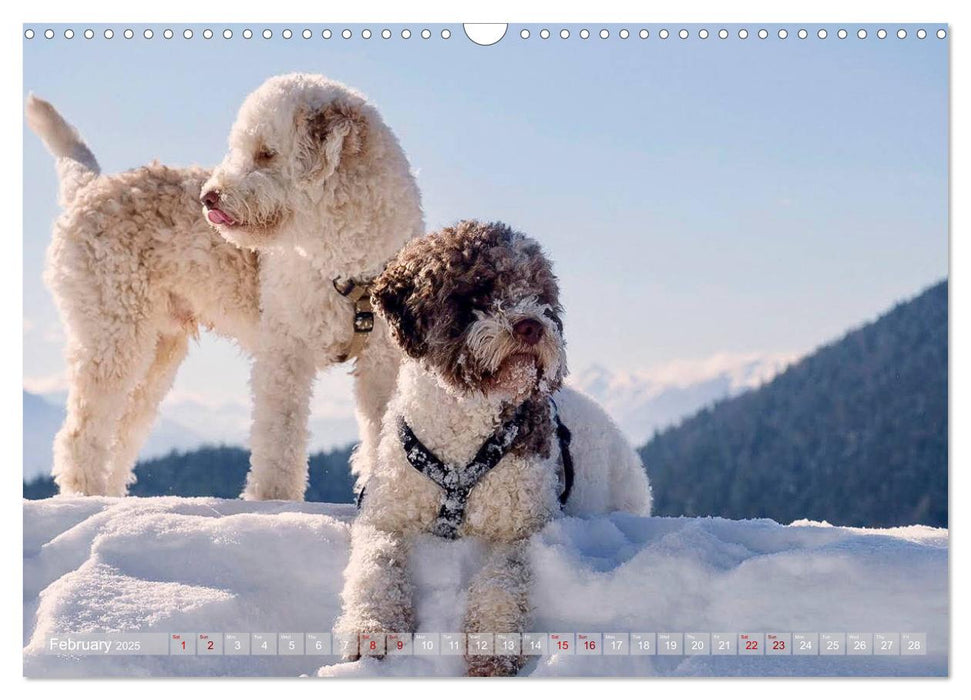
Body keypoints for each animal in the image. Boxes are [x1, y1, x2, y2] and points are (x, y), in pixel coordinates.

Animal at [25, 75, 422, 498]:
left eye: (266, 153)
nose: (208, 197)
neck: (346, 259)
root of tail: (90, 188)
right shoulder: (285, 354)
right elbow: (279, 439)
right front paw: (273, 500)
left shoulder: (382, 364)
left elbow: (381, 433)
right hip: (112, 334)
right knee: (81, 431)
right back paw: (86, 493)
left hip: (156, 353)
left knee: (121, 430)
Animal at [336, 220, 652, 680]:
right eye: (478, 290)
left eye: (539, 293)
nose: (531, 326)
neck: (462, 433)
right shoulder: (384, 513)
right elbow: (375, 565)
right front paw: (370, 632)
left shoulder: (521, 528)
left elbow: (502, 580)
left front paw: (492, 651)